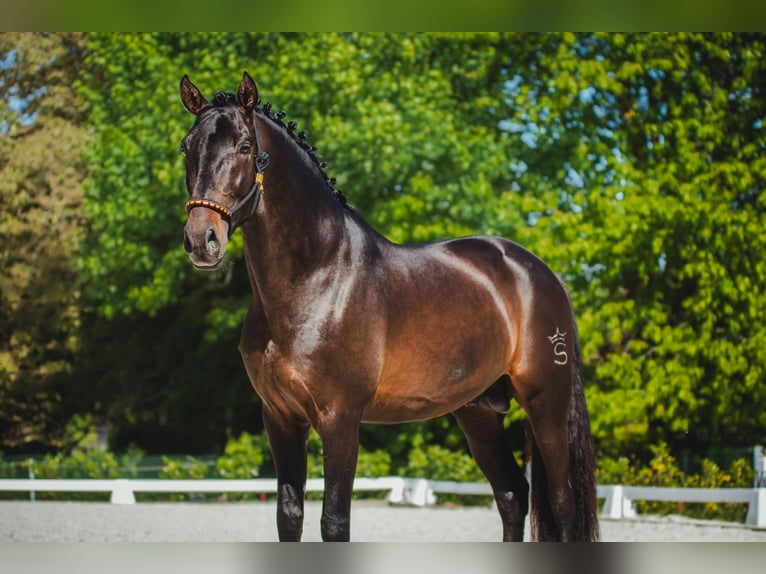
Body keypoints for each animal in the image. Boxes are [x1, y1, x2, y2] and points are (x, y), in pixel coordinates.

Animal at [179, 72, 599, 542]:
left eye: (245, 147)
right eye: (187, 147)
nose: (201, 240)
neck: (316, 278)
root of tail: (541, 272)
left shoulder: (341, 419)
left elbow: (334, 523)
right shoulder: (280, 419)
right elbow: (289, 517)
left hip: (547, 404)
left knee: (561, 503)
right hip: (478, 412)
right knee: (511, 495)